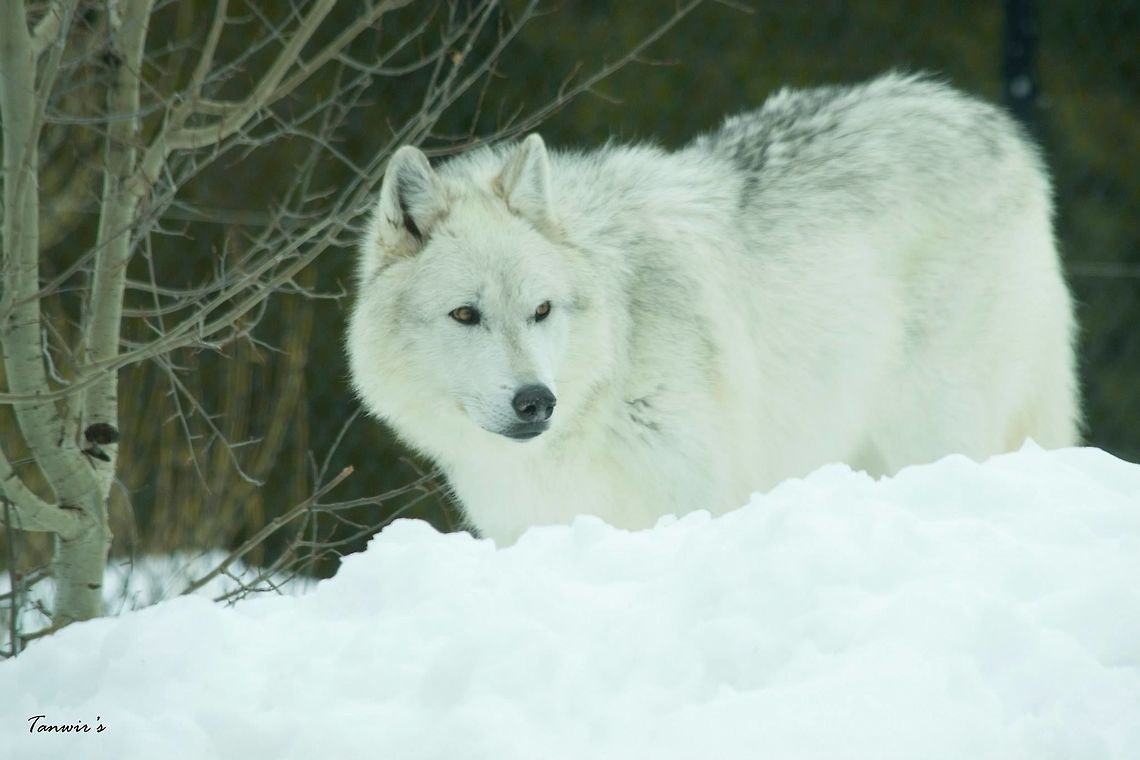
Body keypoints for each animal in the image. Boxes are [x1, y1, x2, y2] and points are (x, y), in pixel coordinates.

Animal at [347, 73, 1079, 545]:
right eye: (465, 315)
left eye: (542, 309)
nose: (536, 402)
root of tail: (1000, 130)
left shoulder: (693, 505)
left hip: (934, 431)